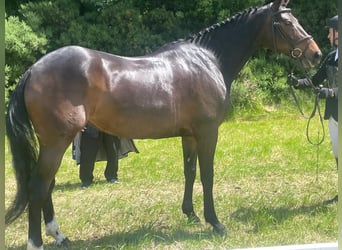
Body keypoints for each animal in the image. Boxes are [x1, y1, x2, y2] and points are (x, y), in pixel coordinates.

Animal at [4, 0, 320, 249]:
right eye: (286, 22)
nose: (315, 54)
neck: (206, 61)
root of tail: (33, 69)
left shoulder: (189, 135)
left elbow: (190, 172)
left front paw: (191, 214)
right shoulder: (208, 132)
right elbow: (207, 175)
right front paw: (215, 222)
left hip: (54, 143)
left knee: (46, 185)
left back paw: (59, 236)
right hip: (57, 142)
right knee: (38, 186)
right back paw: (37, 242)